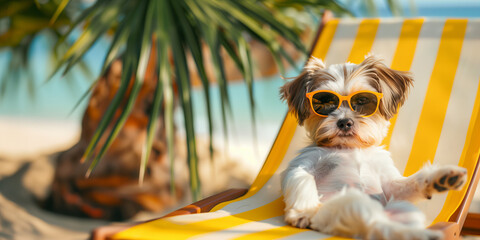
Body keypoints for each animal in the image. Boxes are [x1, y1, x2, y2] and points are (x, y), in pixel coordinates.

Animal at [280, 54, 466, 240]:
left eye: (362, 101)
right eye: (325, 103)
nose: (345, 122)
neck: (350, 148)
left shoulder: (390, 185)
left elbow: (409, 182)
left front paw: (438, 176)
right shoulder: (301, 165)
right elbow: (303, 179)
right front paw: (305, 211)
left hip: (403, 209)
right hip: (350, 206)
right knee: (374, 223)